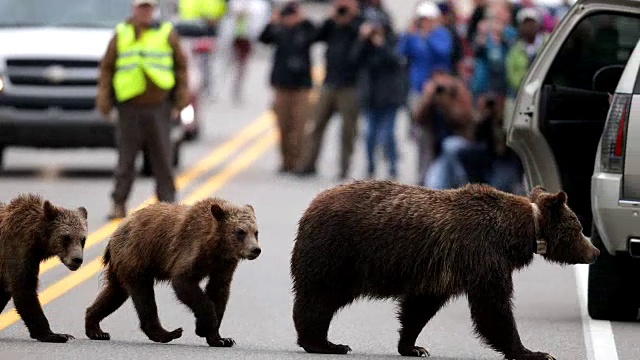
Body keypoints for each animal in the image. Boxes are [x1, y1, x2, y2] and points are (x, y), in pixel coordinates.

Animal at [0, 194, 87, 344]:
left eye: (83, 239)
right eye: (66, 237)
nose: (77, 259)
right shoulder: (16, 252)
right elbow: (24, 288)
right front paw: (56, 335)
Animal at [86, 197, 262, 346]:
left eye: (256, 232)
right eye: (240, 231)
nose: (255, 250)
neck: (217, 247)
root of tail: (115, 232)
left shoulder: (224, 265)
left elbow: (219, 291)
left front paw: (221, 338)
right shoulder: (190, 250)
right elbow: (184, 282)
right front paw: (204, 327)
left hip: (122, 265)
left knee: (114, 293)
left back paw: (96, 329)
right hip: (136, 256)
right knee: (143, 296)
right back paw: (169, 333)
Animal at [290, 181, 600, 360]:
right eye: (579, 227)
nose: (595, 251)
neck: (516, 233)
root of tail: (311, 205)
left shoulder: (441, 270)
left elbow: (420, 307)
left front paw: (413, 346)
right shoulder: (483, 255)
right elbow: (494, 308)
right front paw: (533, 352)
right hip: (339, 252)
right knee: (320, 297)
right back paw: (324, 342)